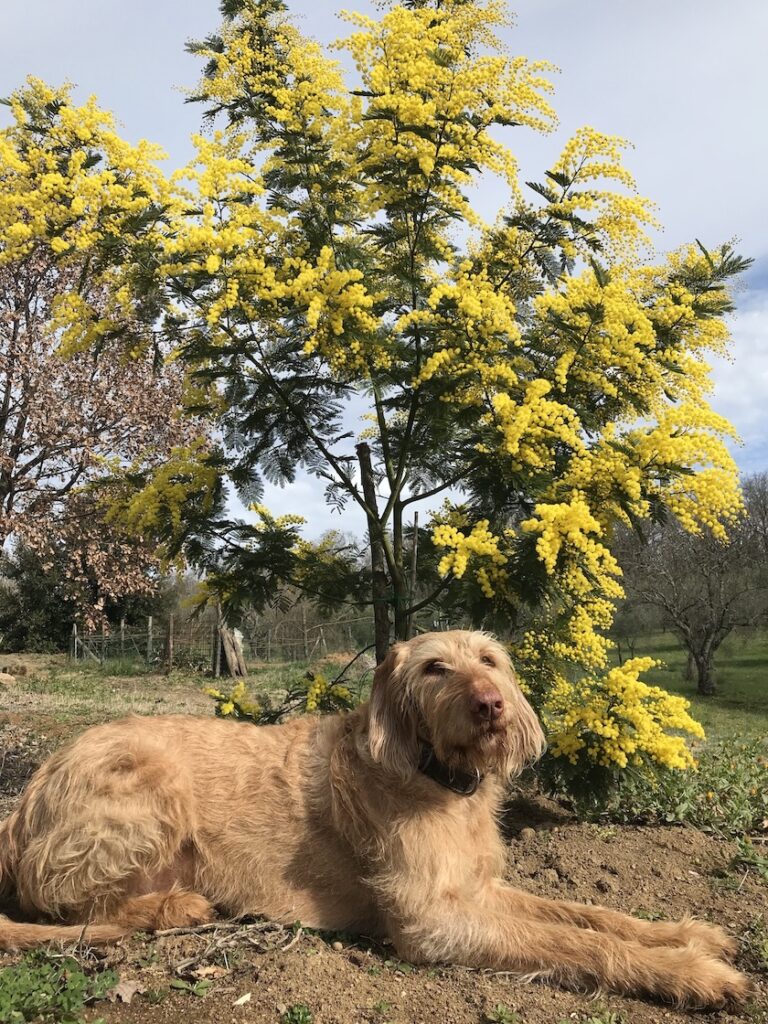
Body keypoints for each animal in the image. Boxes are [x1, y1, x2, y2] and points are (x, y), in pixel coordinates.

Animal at [0, 630, 753, 1007]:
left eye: (489, 660)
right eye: (434, 669)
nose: (491, 704)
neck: (438, 778)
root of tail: (22, 806)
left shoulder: (480, 888)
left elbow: (590, 915)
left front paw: (686, 936)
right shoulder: (432, 921)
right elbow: (576, 943)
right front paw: (693, 975)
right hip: (149, 781)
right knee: (72, 909)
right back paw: (177, 907)